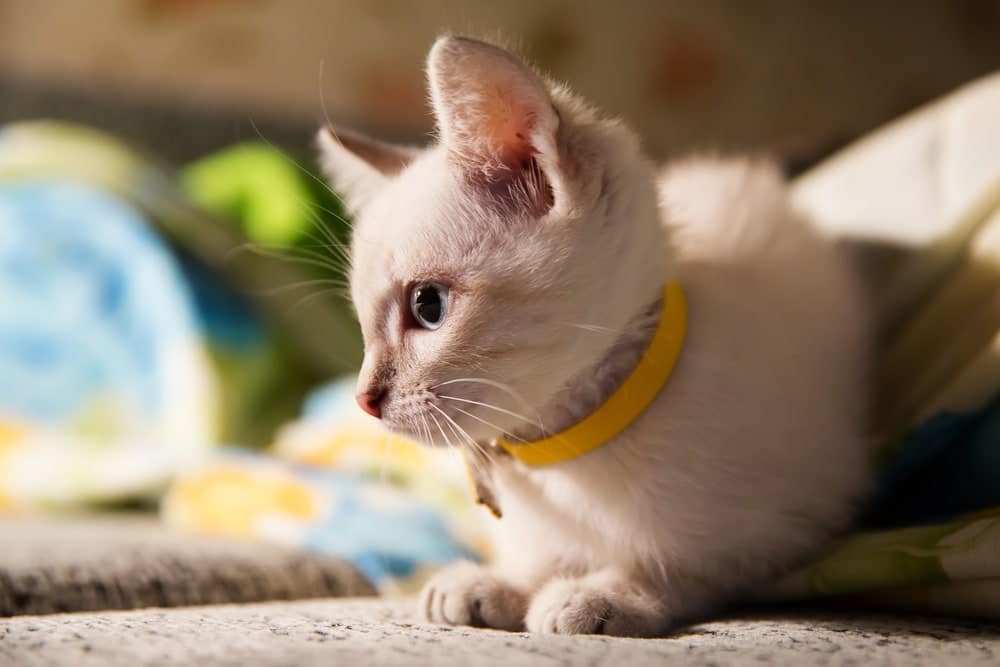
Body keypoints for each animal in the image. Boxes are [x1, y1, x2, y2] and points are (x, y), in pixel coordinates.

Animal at [318, 35, 868, 636]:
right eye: (362, 324)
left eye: (427, 305)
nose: (365, 400)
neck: (565, 454)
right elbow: (539, 558)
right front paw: (502, 584)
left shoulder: (799, 520)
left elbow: (682, 564)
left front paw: (600, 595)